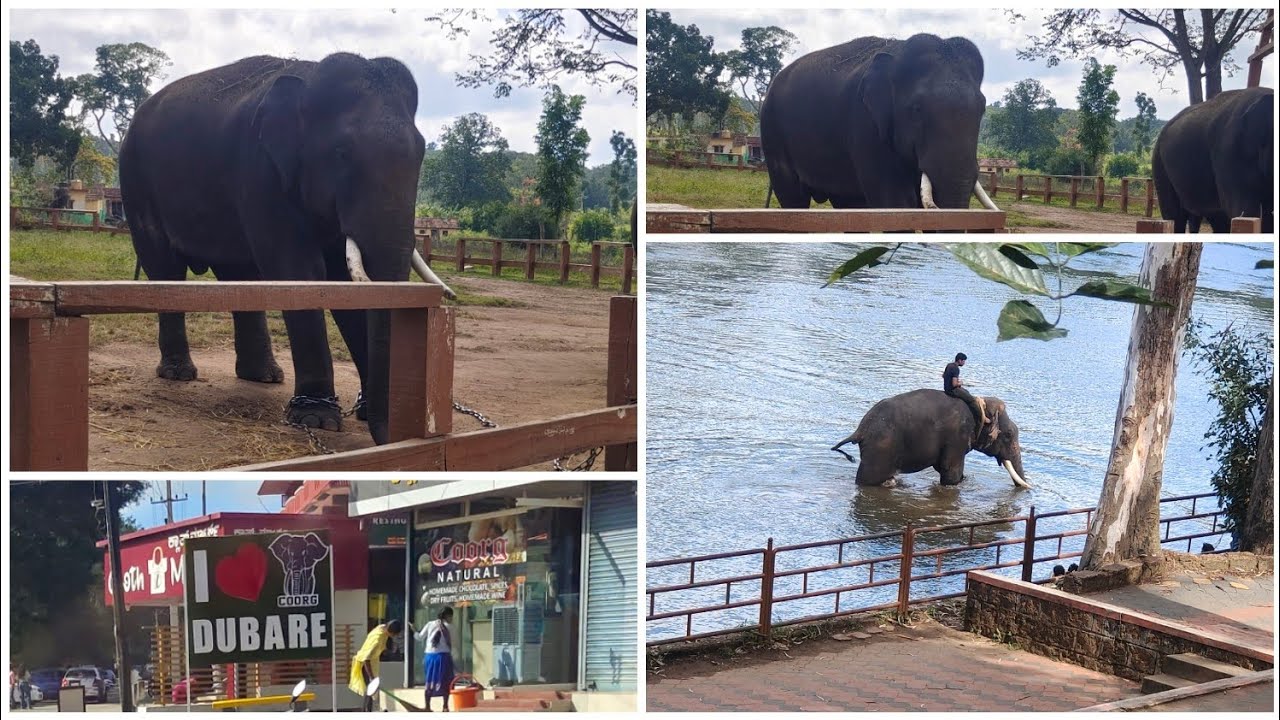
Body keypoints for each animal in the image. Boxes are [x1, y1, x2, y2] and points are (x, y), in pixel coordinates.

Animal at [120, 53, 455, 445]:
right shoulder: (260, 170)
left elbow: (343, 283)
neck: (308, 79)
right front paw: (317, 419)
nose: (395, 434)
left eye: (421, 154)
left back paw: (264, 376)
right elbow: (301, 271)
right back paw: (179, 373)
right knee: (165, 267)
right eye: (342, 153)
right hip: (136, 182)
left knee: (240, 275)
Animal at [759, 33, 1000, 212]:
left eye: (982, 109)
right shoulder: (865, 125)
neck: (897, 54)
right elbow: (896, 203)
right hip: (772, 132)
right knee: (793, 198)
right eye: (917, 109)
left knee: (849, 203)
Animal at [830, 389, 1030, 488]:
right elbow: (951, 472)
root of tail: (860, 430)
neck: (980, 405)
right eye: (1009, 434)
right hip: (880, 449)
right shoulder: (957, 436)